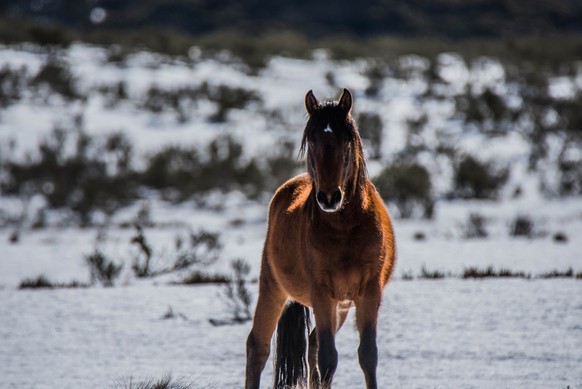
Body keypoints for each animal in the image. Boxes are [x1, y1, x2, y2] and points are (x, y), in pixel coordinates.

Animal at [246, 88, 396, 388]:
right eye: (312, 141)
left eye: (345, 143)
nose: (328, 197)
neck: (345, 230)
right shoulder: (322, 293)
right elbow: (328, 360)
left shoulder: (368, 292)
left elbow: (367, 355)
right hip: (273, 287)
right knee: (258, 346)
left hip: (341, 306)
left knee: (312, 342)